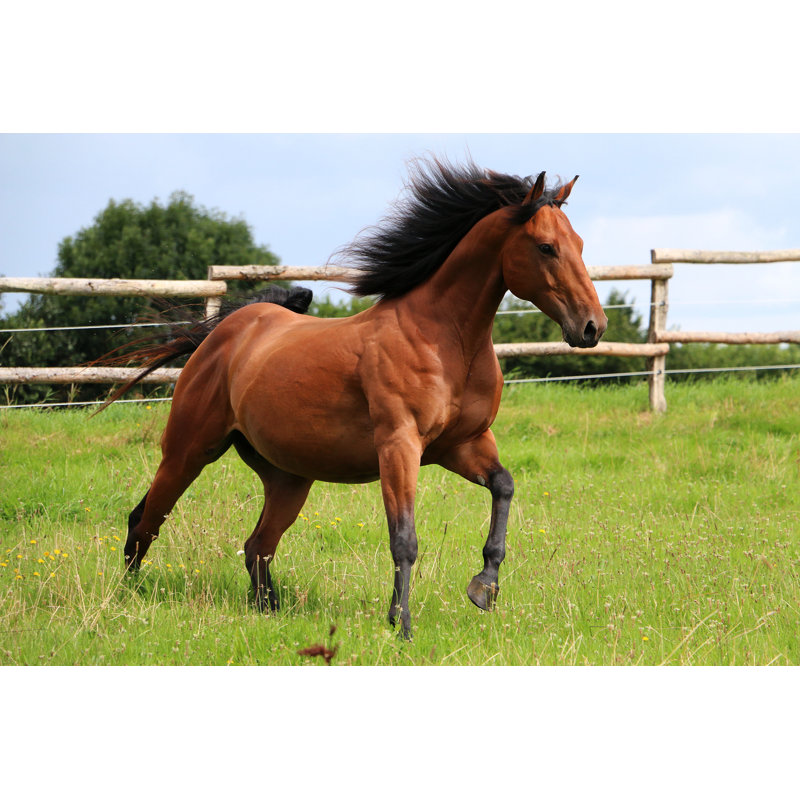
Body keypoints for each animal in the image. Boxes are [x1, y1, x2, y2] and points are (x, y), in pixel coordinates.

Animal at [114, 158, 607, 639]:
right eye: (546, 247)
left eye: (581, 244)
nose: (591, 327)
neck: (445, 340)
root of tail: (226, 332)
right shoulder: (399, 446)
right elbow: (404, 539)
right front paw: (401, 625)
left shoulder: (462, 445)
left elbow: (504, 486)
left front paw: (484, 587)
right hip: (188, 452)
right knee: (145, 522)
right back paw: (128, 599)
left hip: (288, 478)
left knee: (257, 546)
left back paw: (268, 611)